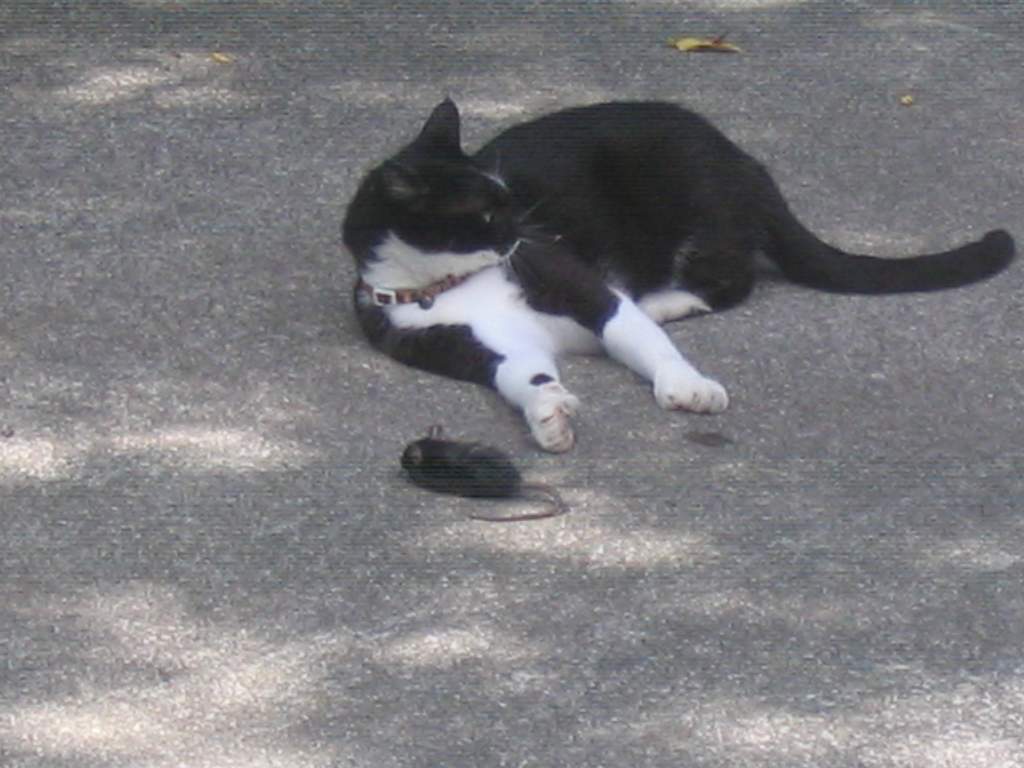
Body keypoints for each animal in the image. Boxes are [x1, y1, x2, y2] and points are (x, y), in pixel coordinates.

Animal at [339, 99, 1011, 454]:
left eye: (508, 201)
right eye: (484, 214)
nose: (521, 230)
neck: (449, 286)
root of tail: (744, 159)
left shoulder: (574, 281)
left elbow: (631, 332)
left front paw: (688, 386)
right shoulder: (465, 344)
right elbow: (521, 373)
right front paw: (548, 412)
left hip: (692, 206)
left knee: (732, 280)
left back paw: (663, 300)